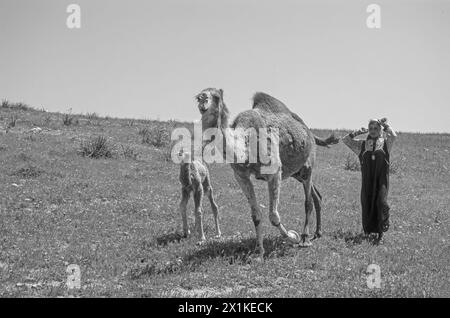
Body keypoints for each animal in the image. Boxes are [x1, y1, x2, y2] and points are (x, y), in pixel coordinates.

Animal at [195, 87, 340, 256]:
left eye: (216, 97)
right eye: (198, 97)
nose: (203, 101)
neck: (246, 143)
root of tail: (309, 131)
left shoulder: (274, 172)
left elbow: (273, 216)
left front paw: (293, 236)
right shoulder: (241, 176)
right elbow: (256, 215)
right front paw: (259, 250)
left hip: (308, 166)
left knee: (308, 201)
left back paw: (305, 238)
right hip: (296, 172)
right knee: (316, 195)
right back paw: (317, 232)